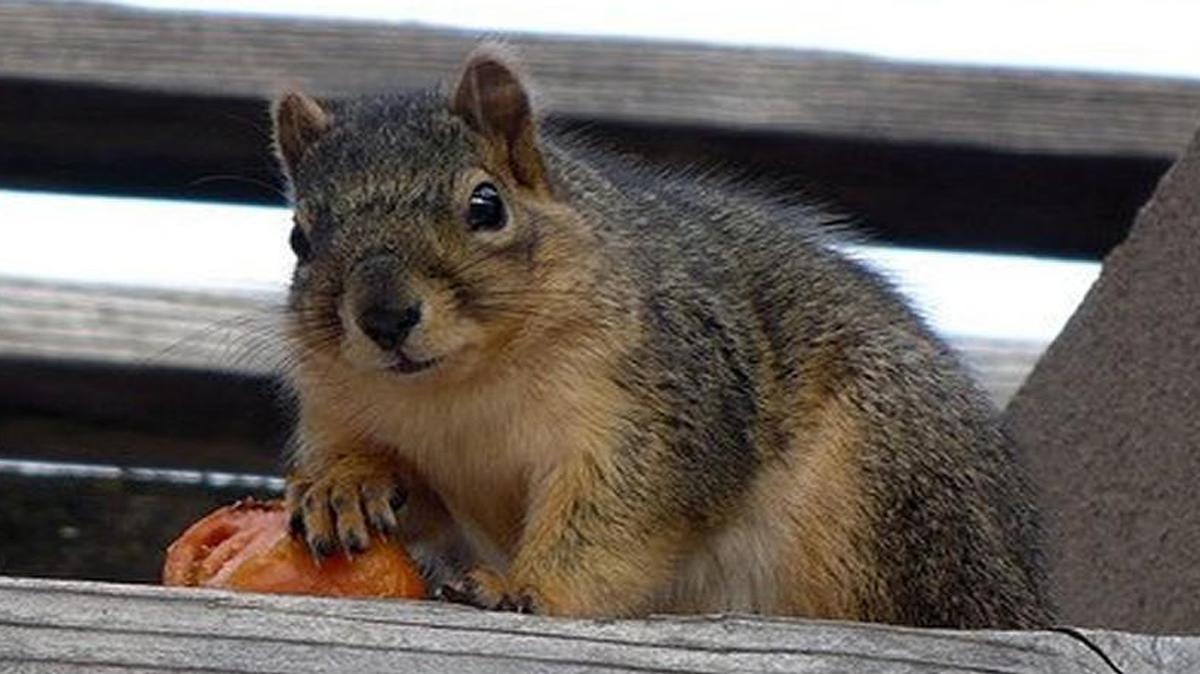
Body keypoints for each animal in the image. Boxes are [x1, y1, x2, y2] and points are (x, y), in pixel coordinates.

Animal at [271, 44, 1052, 628]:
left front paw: (524, 591)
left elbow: (614, 522)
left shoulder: (663, 414)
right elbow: (407, 488)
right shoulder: (350, 408)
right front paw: (345, 483)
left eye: (486, 205)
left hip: (884, 484)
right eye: (299, 238)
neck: (461, 389)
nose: (384, 317)